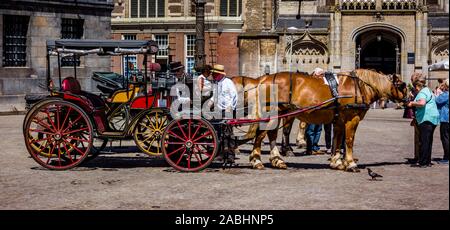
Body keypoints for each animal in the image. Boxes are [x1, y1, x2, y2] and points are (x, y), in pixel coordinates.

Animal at [241, 69, 410, 172]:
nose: (409, 100)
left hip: (280, 114)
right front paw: (351, 163)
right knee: (261, 135)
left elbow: (337, 139)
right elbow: (349, 140)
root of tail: (265, 78)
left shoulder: (339, 121)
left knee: (271, 135)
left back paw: (277, 160)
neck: (360, 86)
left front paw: (337, 161)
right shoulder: (352, 119)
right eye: (402, 85)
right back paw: (257, 161)